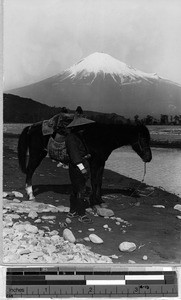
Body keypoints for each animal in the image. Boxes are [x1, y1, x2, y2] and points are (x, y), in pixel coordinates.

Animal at [17, 111, 152, 205]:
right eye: (143, 139)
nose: (149, 158)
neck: (102, 137)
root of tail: (31, 127)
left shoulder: (101, 162)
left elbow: (99, 181)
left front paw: (100, 200)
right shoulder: (94, 162)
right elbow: (94, 180)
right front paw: (95, 201)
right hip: (36, 154)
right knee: (30, 171)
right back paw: (31, 195)